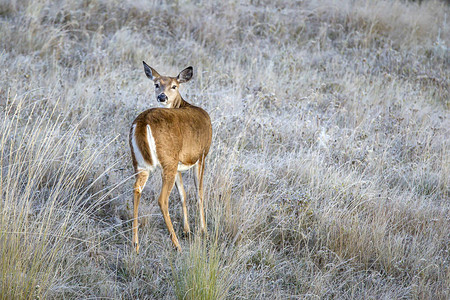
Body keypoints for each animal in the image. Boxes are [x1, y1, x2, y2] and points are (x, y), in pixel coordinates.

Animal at [128, 61, 213, 253]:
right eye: (156, 84)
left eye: (174, 86)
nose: (162, 96)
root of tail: (143, 122)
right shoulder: (202, 155)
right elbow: (199, 192)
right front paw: (203, 231)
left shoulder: (180, 163)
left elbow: (183, 194)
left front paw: (187, 230)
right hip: (168, 162)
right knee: (162, 199)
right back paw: (177, 245)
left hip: (141, 163)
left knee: (136, 190)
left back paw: (135, 244)